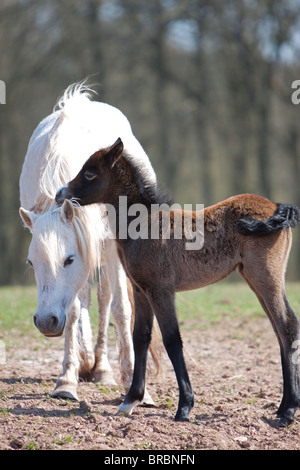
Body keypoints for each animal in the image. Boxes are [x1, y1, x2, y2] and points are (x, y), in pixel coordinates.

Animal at [19, 83, 157, 400]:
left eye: (68, 259)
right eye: (31, 263)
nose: (44, 322)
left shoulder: (111, 249)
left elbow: (120, 309)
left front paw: (133, 382)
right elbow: (71, 310)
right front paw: (67, 379)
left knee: (106, 300)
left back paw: (103, 368)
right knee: (83, 299)